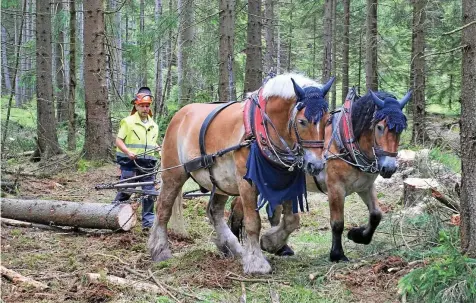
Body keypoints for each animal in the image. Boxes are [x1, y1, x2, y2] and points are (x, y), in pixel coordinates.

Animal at [149, 73, 334, 276]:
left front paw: (271, 243)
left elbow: (292, 220)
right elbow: (253, 223)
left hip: (220, 182)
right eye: (302, 122)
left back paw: (232, 247)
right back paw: (160, 250)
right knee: (163, 208)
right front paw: (256, 263)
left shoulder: (283, 181)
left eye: (327, 121)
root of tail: (179, 115)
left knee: (214, 211)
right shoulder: (247, 183)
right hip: (173, 174)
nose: (316, 164)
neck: (261, 128)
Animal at [229, 88, 410, 262]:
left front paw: (357, 236)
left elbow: (376, 215)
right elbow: (337, 223)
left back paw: (282, 248)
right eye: (379, 127)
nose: (389, 168)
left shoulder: (365, 186)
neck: (345, 141)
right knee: (239, 207)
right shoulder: (335, 187)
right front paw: (337, 254)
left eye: (401, 129)